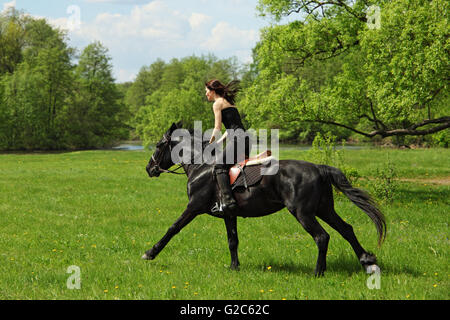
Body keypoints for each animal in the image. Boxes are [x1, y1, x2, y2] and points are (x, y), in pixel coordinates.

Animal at [142, 121, 384, 276]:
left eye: (158, 145)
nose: (149, 169)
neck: (201, 166)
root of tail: (319, 168)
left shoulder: (193, 206)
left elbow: (173, 228)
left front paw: (150, 253)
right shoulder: (229, 214)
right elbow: (232, 240)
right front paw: (234, 267)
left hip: (303, 212)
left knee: (322, 237)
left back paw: (318, 272)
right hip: (324, 209)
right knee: (346, 230)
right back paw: (367, 262)